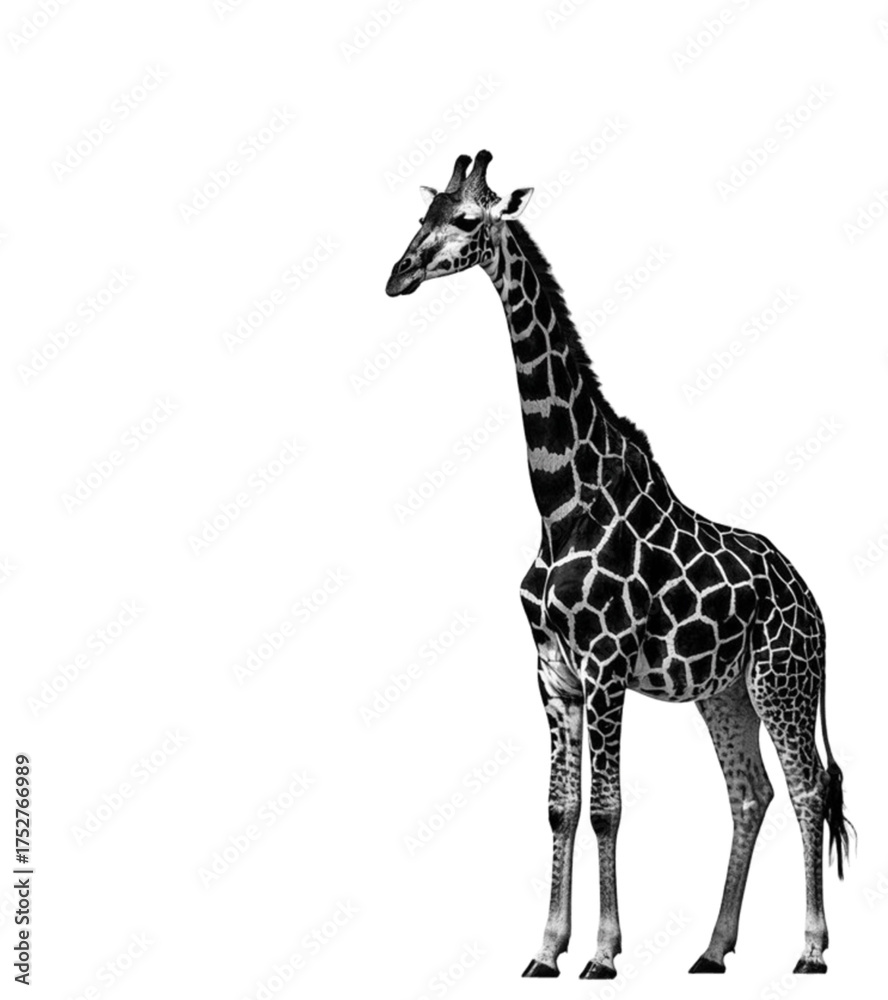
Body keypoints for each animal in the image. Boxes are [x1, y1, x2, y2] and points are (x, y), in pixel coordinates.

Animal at [385, 150, 853, 978]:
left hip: (783, 680)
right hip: (724, 692)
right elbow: (560, 806)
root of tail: (814, 600)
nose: (398, 275)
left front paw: (603, 953)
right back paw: (712, 948)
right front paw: (545, 950)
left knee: (806, 788)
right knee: (750, 793)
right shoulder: (553, 670)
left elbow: (607, 808)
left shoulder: (604, 664)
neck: (558, 502)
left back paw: (810, 949)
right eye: (423, 216)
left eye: (467, 220)